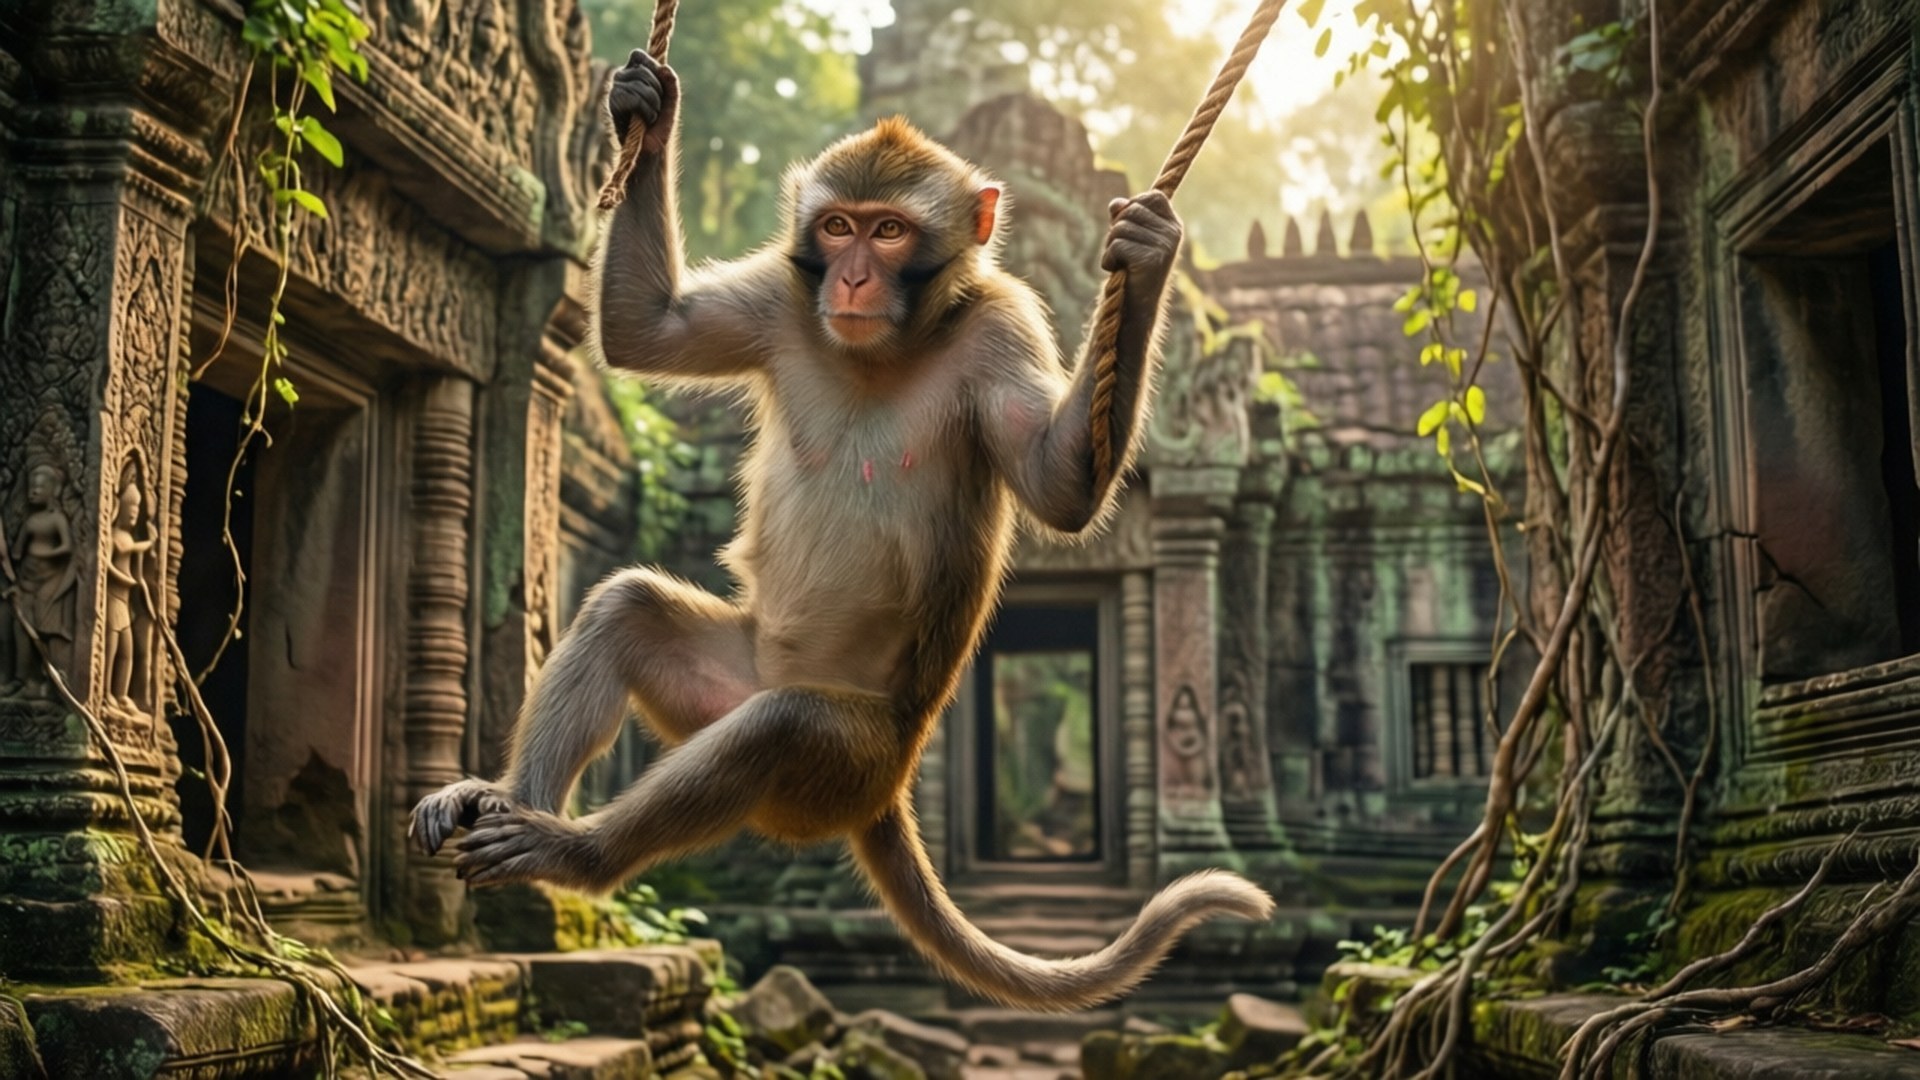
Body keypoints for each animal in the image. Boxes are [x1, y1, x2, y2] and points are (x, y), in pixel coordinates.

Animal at [411, 48, 1274, 1011]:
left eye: (890, 232)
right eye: (836, 227)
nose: (853, 277)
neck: (885, 341)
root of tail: (887, 790)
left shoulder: (1002, 322)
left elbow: (1062, 487)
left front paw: (1150, 258)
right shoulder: (785, 298)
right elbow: (649, 331)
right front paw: (647, 110)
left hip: (844, 760)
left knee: (780, 728)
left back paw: (573, 853)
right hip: (728, 686)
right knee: (628, 611)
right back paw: (504, 802)